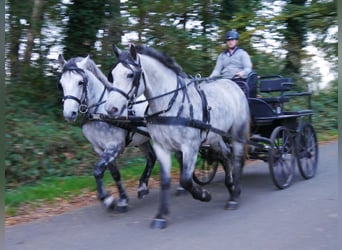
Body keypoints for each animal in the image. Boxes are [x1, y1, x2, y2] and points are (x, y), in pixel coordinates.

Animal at [57, 54, 156, 211]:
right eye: (61, 84)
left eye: (80, 82)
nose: (69, 114)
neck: (100, 111)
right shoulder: (100, 149)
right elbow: (115, 174)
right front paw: (122, 200)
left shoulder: (114, 146)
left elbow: (97, 171)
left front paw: (107, 198)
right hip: (142, 140)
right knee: (152, 158)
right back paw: (142, 187)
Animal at [104, 45, 251, 229]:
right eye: (112, 74)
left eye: (130, 74)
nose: (111, 109)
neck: (169, 105)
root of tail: (232, 84)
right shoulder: (162, 147)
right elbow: (165, 181)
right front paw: (160, 216)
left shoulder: (190, 146)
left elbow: (186, 180)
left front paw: (204, 195)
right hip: (215, 137)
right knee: (225, 156)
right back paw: (231, 187)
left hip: (236, 135)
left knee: (236, 159)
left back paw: (234, 196)